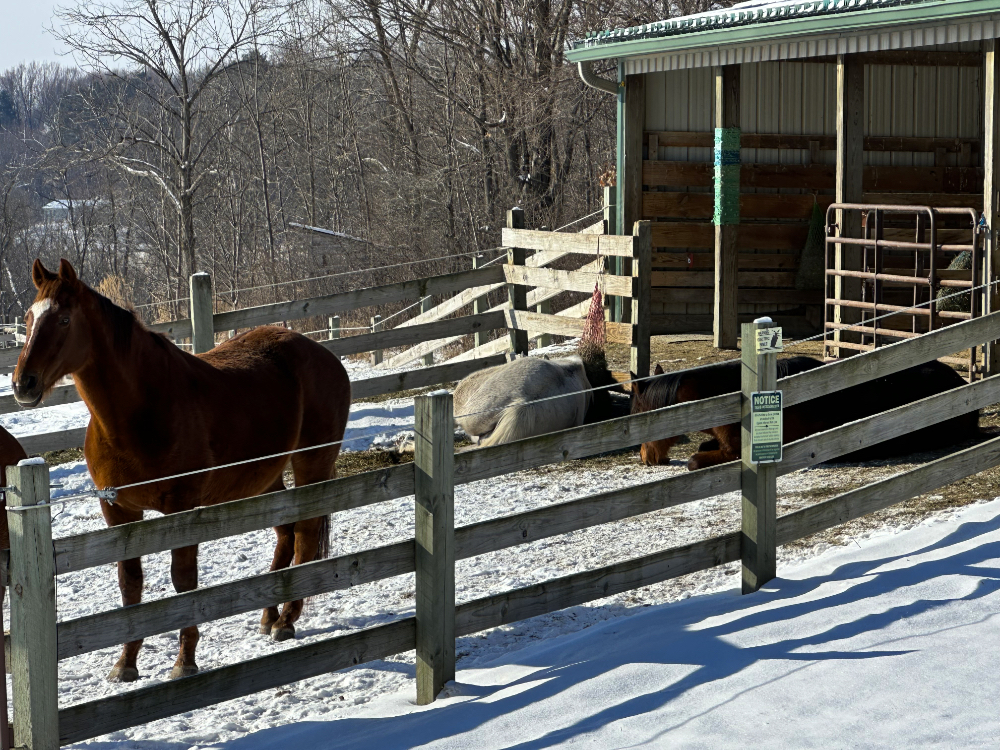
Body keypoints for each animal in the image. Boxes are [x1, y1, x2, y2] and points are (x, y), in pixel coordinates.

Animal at [12, 259, 351, 683]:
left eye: (62, 319)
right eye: (28, 319)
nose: (22, 384)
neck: (142, 410)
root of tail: (324, 355)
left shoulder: (183, 509)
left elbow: (184, 582)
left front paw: (184, 661)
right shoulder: (119, 512)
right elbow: (130, 585)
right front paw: (125, 663)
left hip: (312, 465)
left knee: (305, 535)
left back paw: (287, 619)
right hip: (265, 477)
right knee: (286, 534)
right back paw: (269, 615)